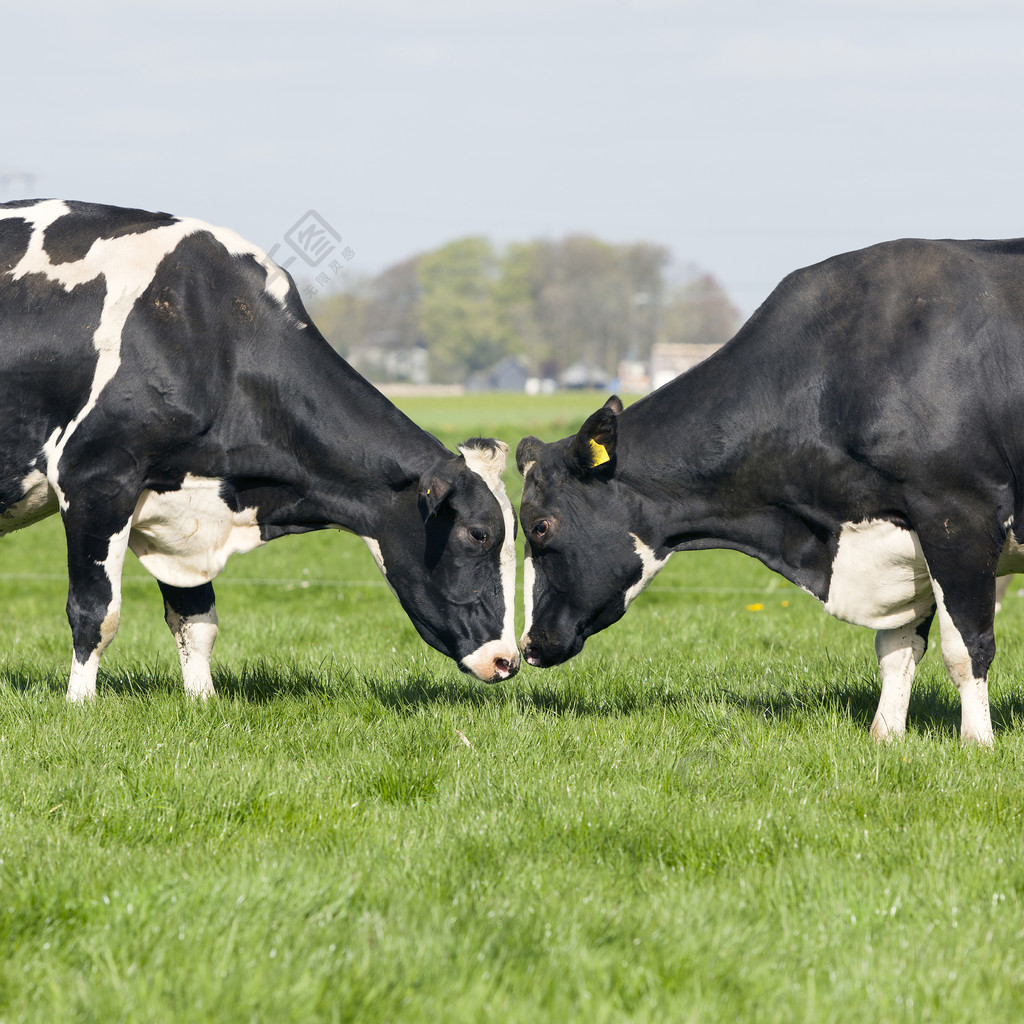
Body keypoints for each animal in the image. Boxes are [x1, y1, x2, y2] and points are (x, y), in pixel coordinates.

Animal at [2, 196, 520, 700]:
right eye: (477, 534)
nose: (508, 660)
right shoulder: (95, 480)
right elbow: (96, 614)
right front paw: (80, 704)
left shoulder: (181, 510)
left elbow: (197, 623)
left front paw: (202, 702)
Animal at [520, 235, 1024, 745]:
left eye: (540, 527)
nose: (527, 645)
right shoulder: (899, 539)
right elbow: (897, 649)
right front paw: (885, 736)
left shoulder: (957, 515)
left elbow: (966, 648)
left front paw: (977, 743)